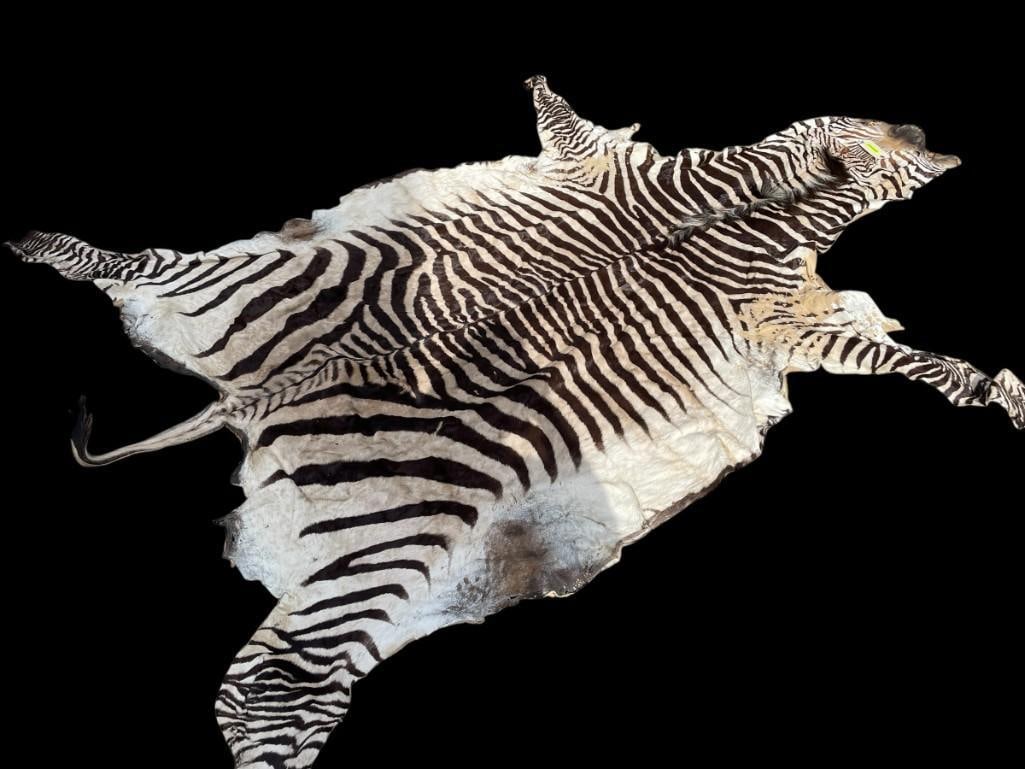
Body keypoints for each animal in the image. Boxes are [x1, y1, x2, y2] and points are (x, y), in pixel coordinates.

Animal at [8, 75, 1022, 768]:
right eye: (877, 136)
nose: (927, 131)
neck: (763, 207)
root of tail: (257, 399)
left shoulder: (774, 309)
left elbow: (901, 355)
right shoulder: (738, 273)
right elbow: (573, 128)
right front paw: (997, 389)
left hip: (265, 329)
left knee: (135, 274)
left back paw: (40, 243)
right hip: (395, 516)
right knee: (275, 687)